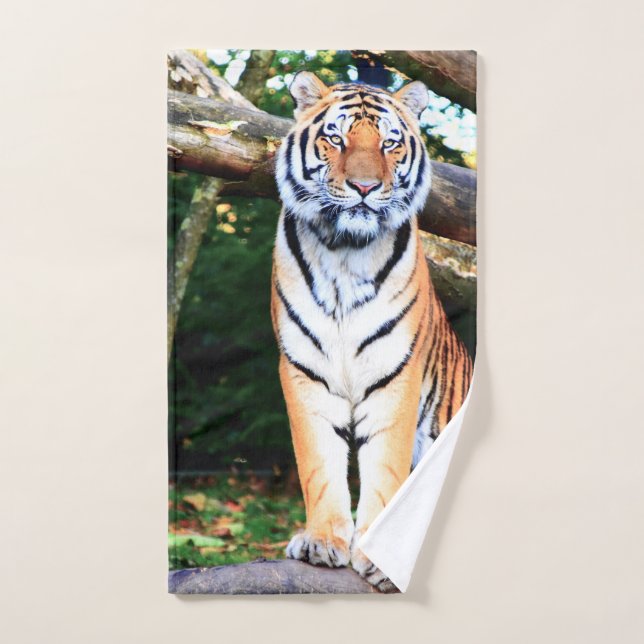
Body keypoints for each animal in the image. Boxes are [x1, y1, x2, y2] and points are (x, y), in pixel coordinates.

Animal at [270, 71, 473, 592]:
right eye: (336, 139)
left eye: (389, 143)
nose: (364, 186)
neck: (344, 251)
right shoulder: (304, 371)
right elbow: (319, 464)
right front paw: (322, 541)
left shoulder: (395, 373)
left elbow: (385, 468)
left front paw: (379, 559)